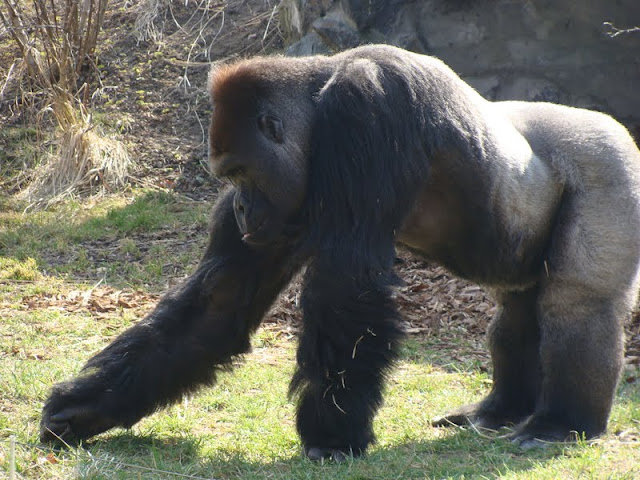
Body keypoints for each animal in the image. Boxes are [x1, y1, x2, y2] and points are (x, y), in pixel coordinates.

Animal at [40, 44, 640, 461]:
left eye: (240, 171)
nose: (240, 210)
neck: (321, 89)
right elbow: (217, 307)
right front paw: (86, 406)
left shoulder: (367, 107)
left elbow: (345, 285)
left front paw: (331, 434)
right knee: (515, 312)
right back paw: (499, 411)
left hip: (611, 162)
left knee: (576, 304)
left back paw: (561, 424)